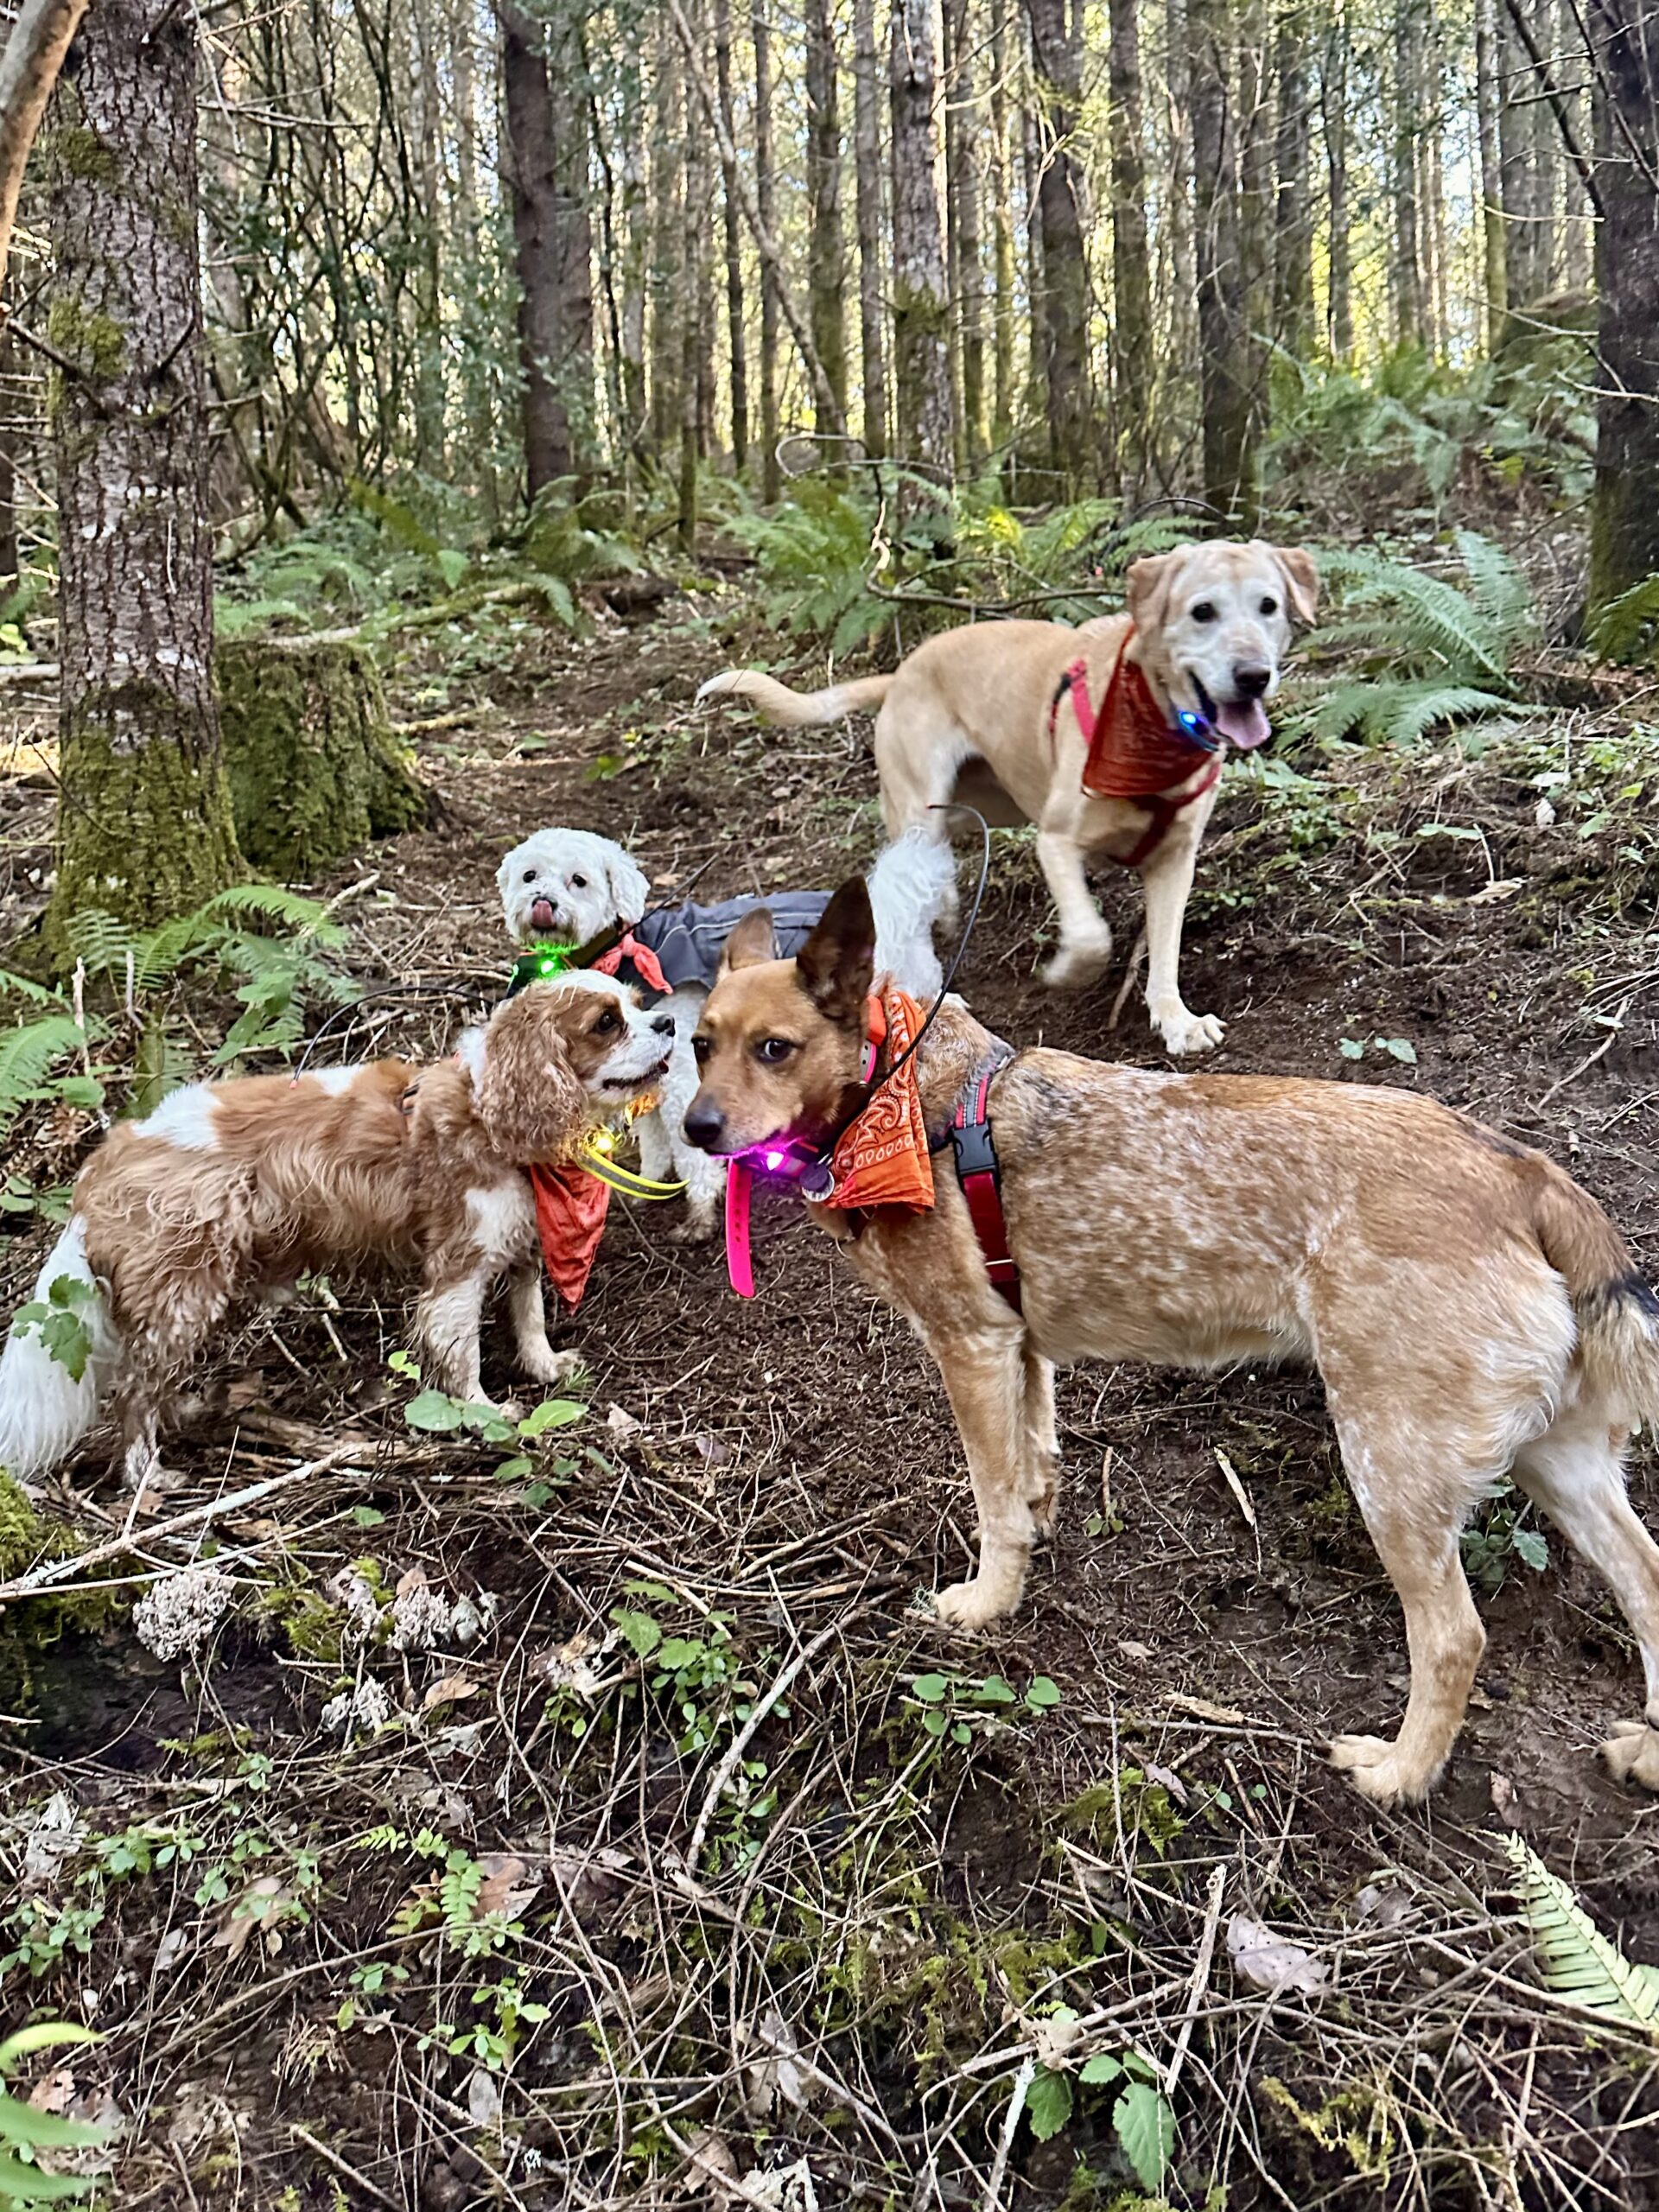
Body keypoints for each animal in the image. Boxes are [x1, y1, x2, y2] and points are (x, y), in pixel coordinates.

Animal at [1, 982, 677, 1486]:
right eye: (607, 1022)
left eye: (638, 1003)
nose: (668, 1021)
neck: (491, 1110)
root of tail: (109, 1157)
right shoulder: (456, 1269)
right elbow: (461, 1352)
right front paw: (485, 1413)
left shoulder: (520, 1241)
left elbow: (528, 1312)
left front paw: (544, 1367)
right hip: (183, 1292)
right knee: (134, 1391)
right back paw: (147, 1474)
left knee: (151, 1379)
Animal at [499, 831, 955, 1247]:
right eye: (529, 875)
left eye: (578, 880)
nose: (543, 901)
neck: (622, 948)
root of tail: (892, 902)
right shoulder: (647, 1071)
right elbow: (653, 1139)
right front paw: (647, 1184)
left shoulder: (682, 1080)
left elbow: (691, 1155)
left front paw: (699, 1214)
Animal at [685, 871, 1659, 1804]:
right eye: (699, 1045)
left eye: (774, 1048)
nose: (695, 1127)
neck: (893, 1093)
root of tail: (1526, 1173)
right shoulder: (1020, 1347)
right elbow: (1034, 1465)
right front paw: (1036, 1535)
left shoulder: (970, 1347)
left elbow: (994, 1500)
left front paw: (989, 1604)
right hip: (1556, 1461)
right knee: (1649, 1582)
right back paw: (1646, 1752)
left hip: (1392, 1469)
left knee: (1456, 1636)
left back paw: (1401, 1775)